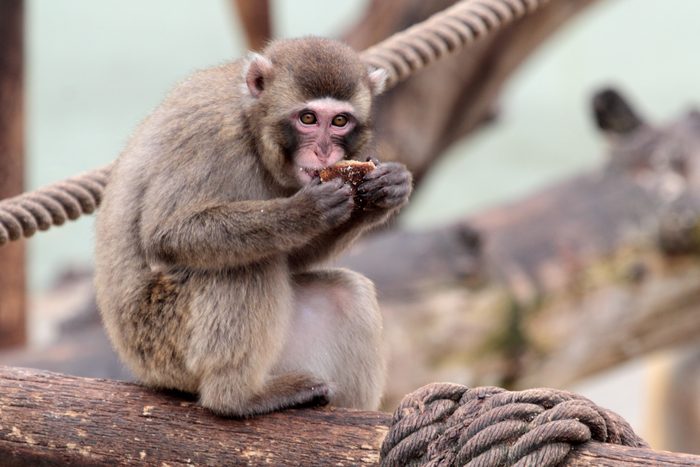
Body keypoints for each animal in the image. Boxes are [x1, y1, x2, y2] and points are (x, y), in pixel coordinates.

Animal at [94, 37, 413, 417]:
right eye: (308, 118)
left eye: (339, 121)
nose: (324, 152)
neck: (253, 130)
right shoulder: (211, 134)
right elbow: (167, 233)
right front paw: (303, 213)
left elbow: (295, 260)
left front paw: (387, 191)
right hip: (160, 342)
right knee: (245, 265)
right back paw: (238, 397)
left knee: (346, 292)